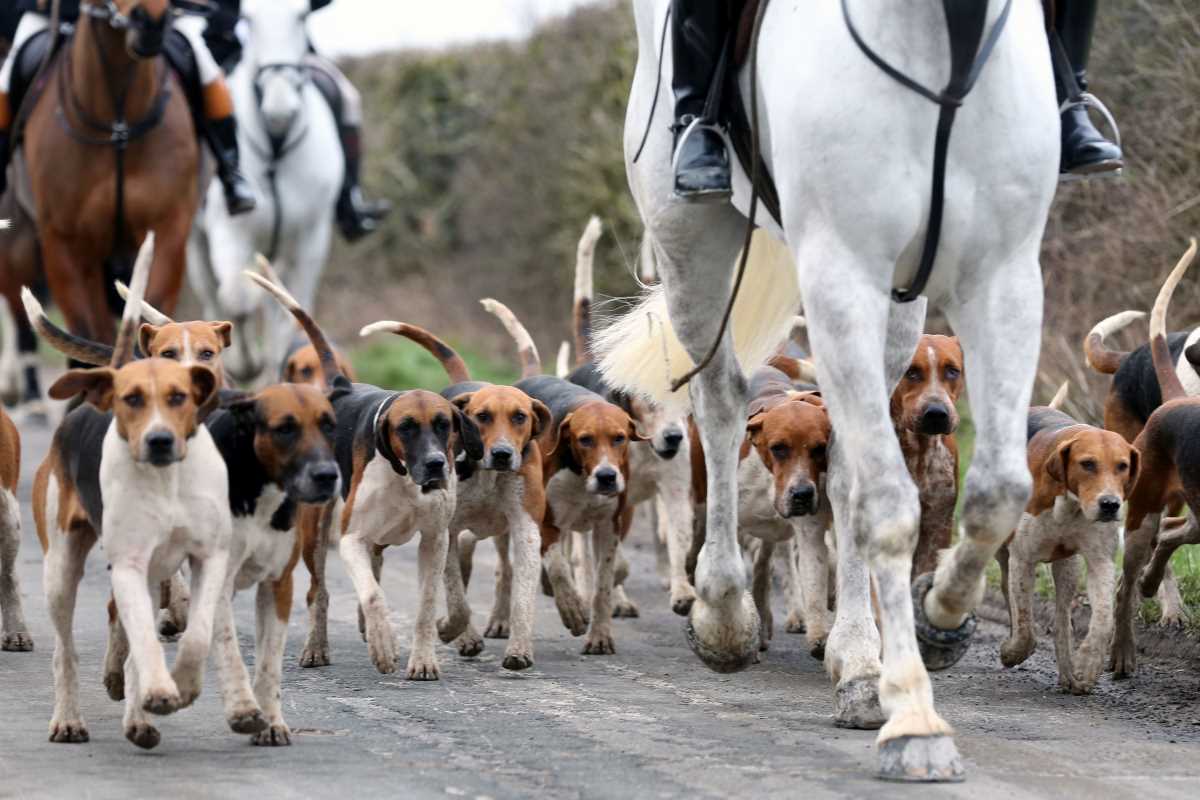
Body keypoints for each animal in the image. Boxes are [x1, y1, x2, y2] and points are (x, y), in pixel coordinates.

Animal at [184, 0, 343, 381]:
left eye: (302, 17)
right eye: (249, 20)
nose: (279, 106)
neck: (276, 143)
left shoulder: (310, 240)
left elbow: (289, 317)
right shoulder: (230, 233)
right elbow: (237, 300)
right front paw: (244, 364)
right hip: (196, 245)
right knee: (214, 295)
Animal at [595, 0, 1056, 782]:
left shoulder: (1003, 274)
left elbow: (997, 491)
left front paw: (937, 620)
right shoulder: (842, 272)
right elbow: (888, 507)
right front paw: (915, 719)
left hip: (900, 302)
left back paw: (859, 656)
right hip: (694, 249)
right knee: (720, 404)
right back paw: (725, 615)